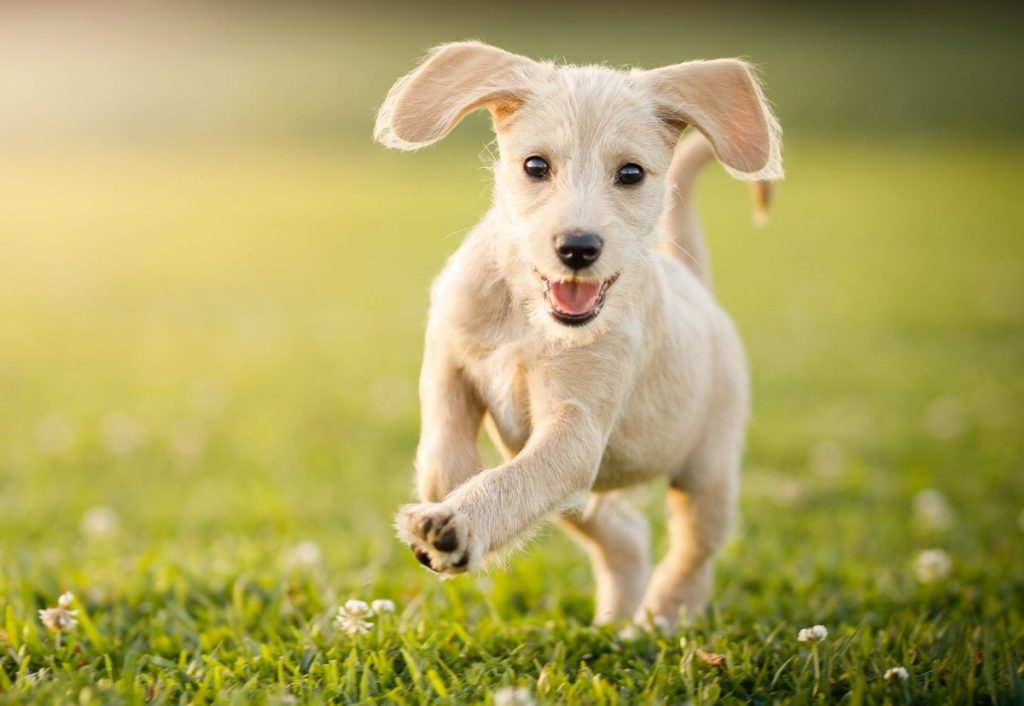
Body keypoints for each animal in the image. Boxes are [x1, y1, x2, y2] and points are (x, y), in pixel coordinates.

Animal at [376, 42, 782, 627]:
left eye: (631, 173)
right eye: (535, 166)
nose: (578, 247)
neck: (527, 316)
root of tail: (694, 282)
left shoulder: (575, 431)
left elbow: (512, 481)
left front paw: (457, 522)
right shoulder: (448, 360)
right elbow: (440, 453)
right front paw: (451, 496)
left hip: (707, 473)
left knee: (692, 553)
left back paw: (660, 618)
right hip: (583, 500)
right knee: (627, 535)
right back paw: (616, 625)